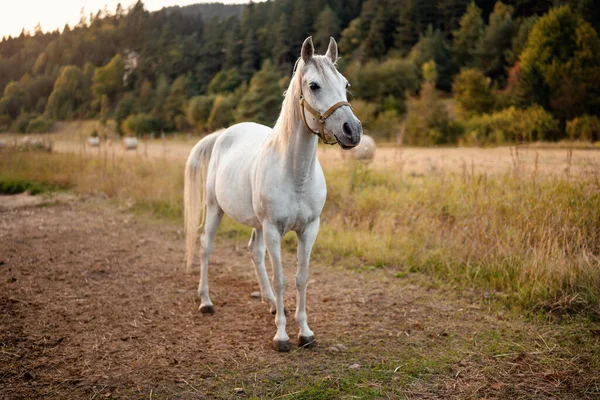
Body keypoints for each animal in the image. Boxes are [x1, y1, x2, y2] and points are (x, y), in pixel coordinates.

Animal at [183, 36, 360, 352]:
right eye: (314, 85)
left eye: (345, 83)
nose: (352, 130)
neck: (295, 173)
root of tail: (223, 133)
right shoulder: (273, 229)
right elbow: (281, 280)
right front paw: (281, 336)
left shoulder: (309, 229)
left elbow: (301, 278)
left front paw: (305, 332)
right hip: (216, 209)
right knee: (205, 247)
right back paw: (206, 301)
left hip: (256, 223)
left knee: (254, 252)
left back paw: (270, 303)